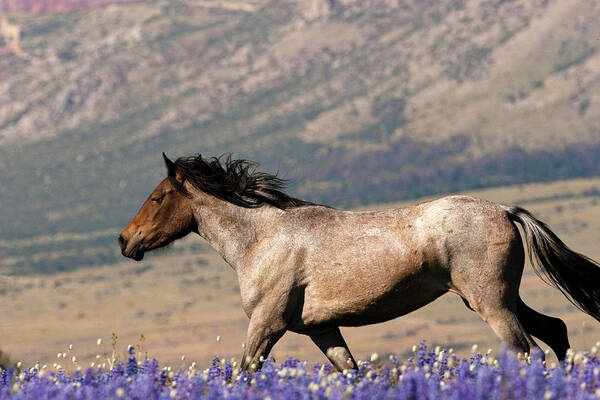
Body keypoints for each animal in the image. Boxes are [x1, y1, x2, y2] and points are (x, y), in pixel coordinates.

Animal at [119, 153, 600, 372]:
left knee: (527, 350)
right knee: (555, 331)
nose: (125, 241)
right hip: (499, 298)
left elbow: (243, 373)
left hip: (492, 303)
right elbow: (350, 372)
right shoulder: (322, 329)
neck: (260, 238)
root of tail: (505, 210)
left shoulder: (266, 324)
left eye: (158, 197)